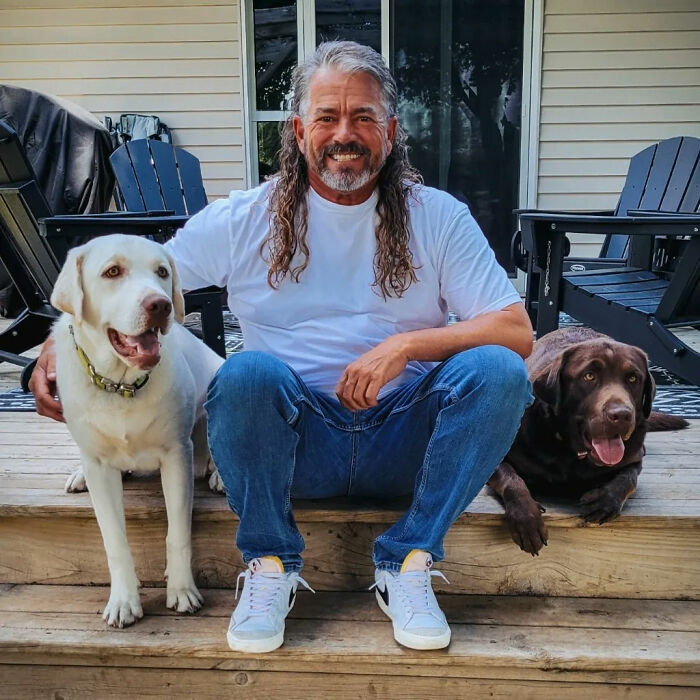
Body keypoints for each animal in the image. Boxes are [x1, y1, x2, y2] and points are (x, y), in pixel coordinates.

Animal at [50, 235, 223, 628]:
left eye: (162, 272)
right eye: (112, 272)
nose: (160, 305)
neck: (121, 385)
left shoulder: (175, 456)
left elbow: (177, 533)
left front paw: (181, 590)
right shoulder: (101, 468)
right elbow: (114, 541)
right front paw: (124, 601)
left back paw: (217, 471)